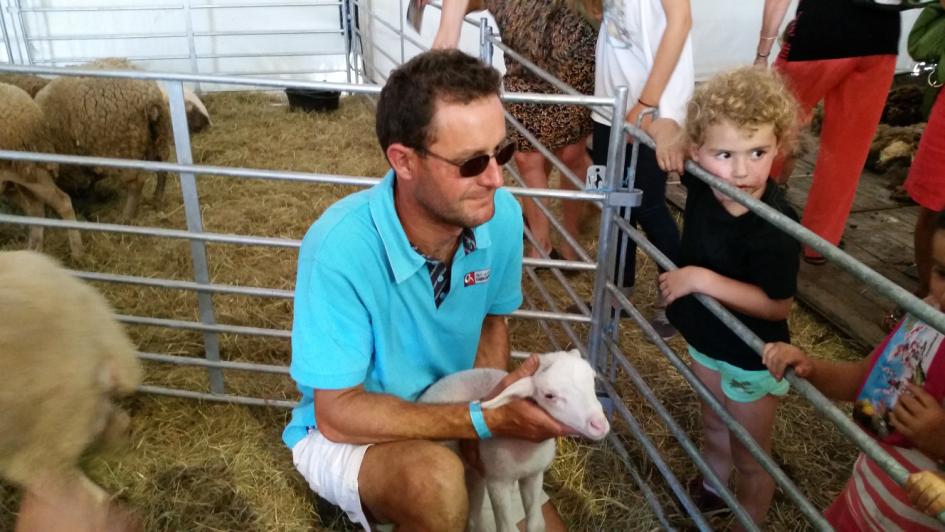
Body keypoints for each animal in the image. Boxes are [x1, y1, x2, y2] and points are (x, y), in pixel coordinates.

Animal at [0, 82, 83, 258]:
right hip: (16, 177)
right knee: (36, 209)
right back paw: (33, 251)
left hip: (32, 172)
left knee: (62, 202)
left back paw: (78, 252)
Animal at [418, 350, 608, 532]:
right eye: (549, 395)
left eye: (593, 379)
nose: (599, 425)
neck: (528, 450)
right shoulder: (497, 483)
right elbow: (506, 528)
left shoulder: (534, 475)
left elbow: (536, 525)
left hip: (475, 472)